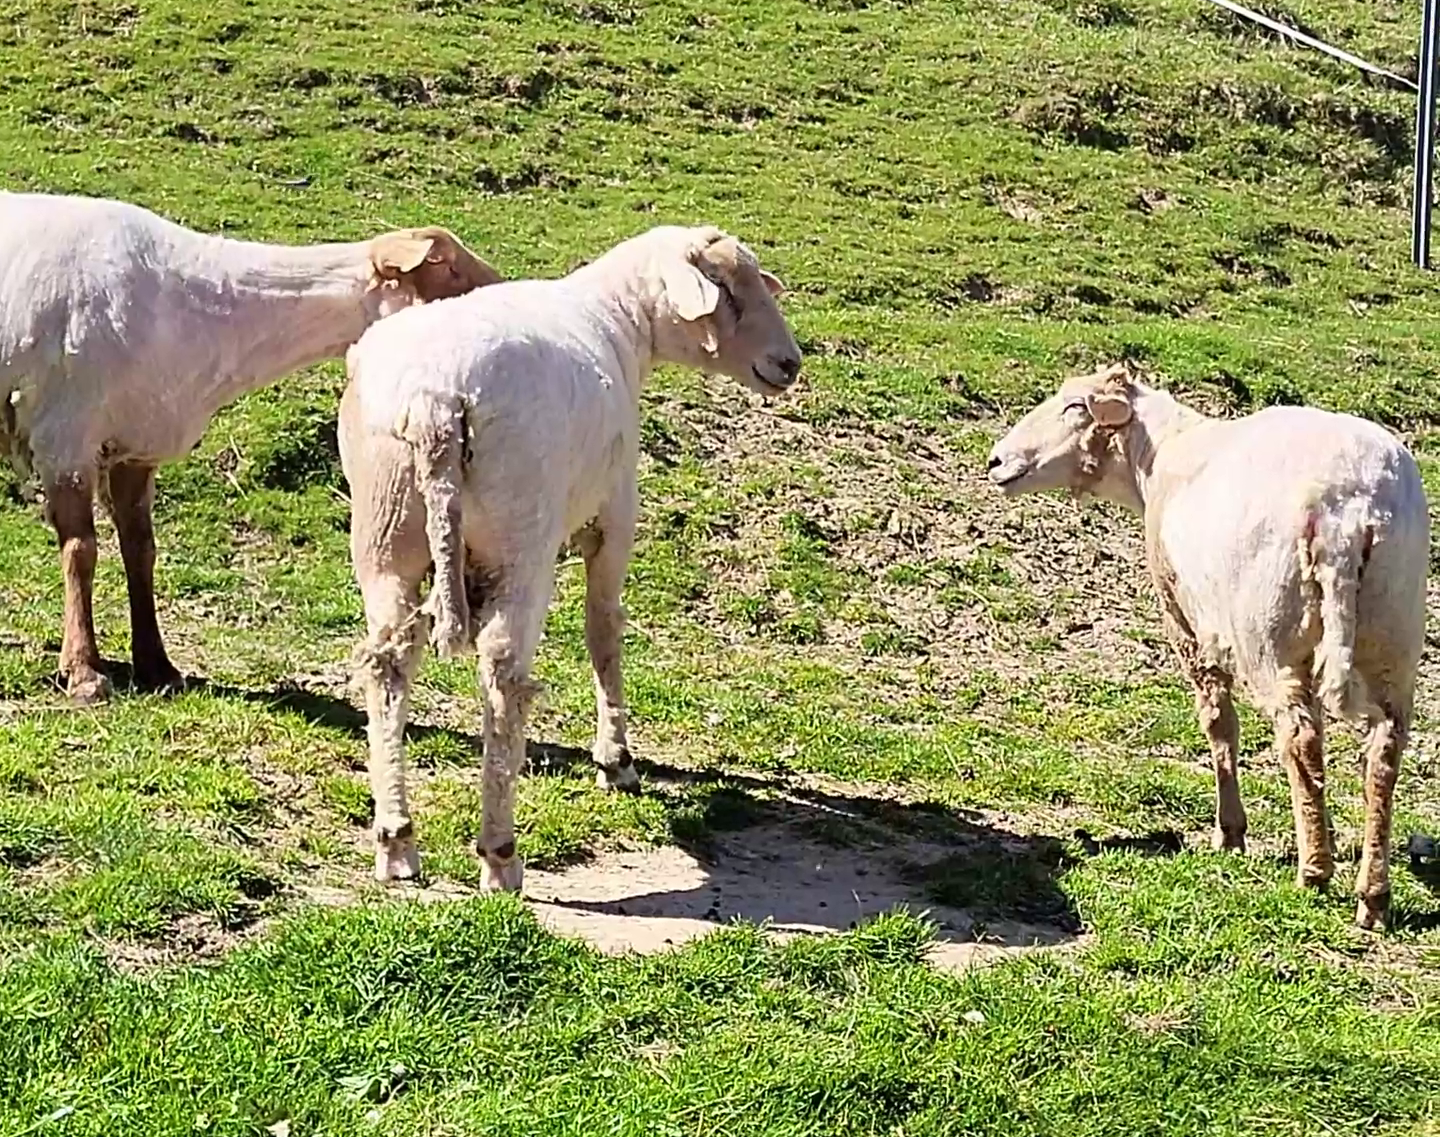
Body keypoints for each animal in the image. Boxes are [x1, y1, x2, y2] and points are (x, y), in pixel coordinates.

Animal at [0, 190, 501, 704]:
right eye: (449, 268)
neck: (197, 305)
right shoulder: (64, 435)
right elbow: (81, 551)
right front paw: (83, 672)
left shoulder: (138, 442)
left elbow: (141, 550)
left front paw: (158, 667)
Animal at [339, 224, 802, 887]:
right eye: (727, 290)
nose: (790, 364)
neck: (622, 322)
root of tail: (436, 404)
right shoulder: (616, 512)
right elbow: (603, 628)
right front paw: (617, 760)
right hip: (521, 538)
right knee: (503, 675)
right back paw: (500, 854)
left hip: (384, 535)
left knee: (386, 666)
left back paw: (396, 839)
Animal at [987, 361, 1428, 929]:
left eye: (1074, 406)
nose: (997, 460)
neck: (1158, 455)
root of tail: (1349, 512)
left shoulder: (1185, 617)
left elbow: (1218, 722)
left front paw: (1231, 833)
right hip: (1394, 629)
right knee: (1383, 753)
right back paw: (1371, 894)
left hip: (1271, 633)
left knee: (1300, 739)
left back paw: (1314, 872)